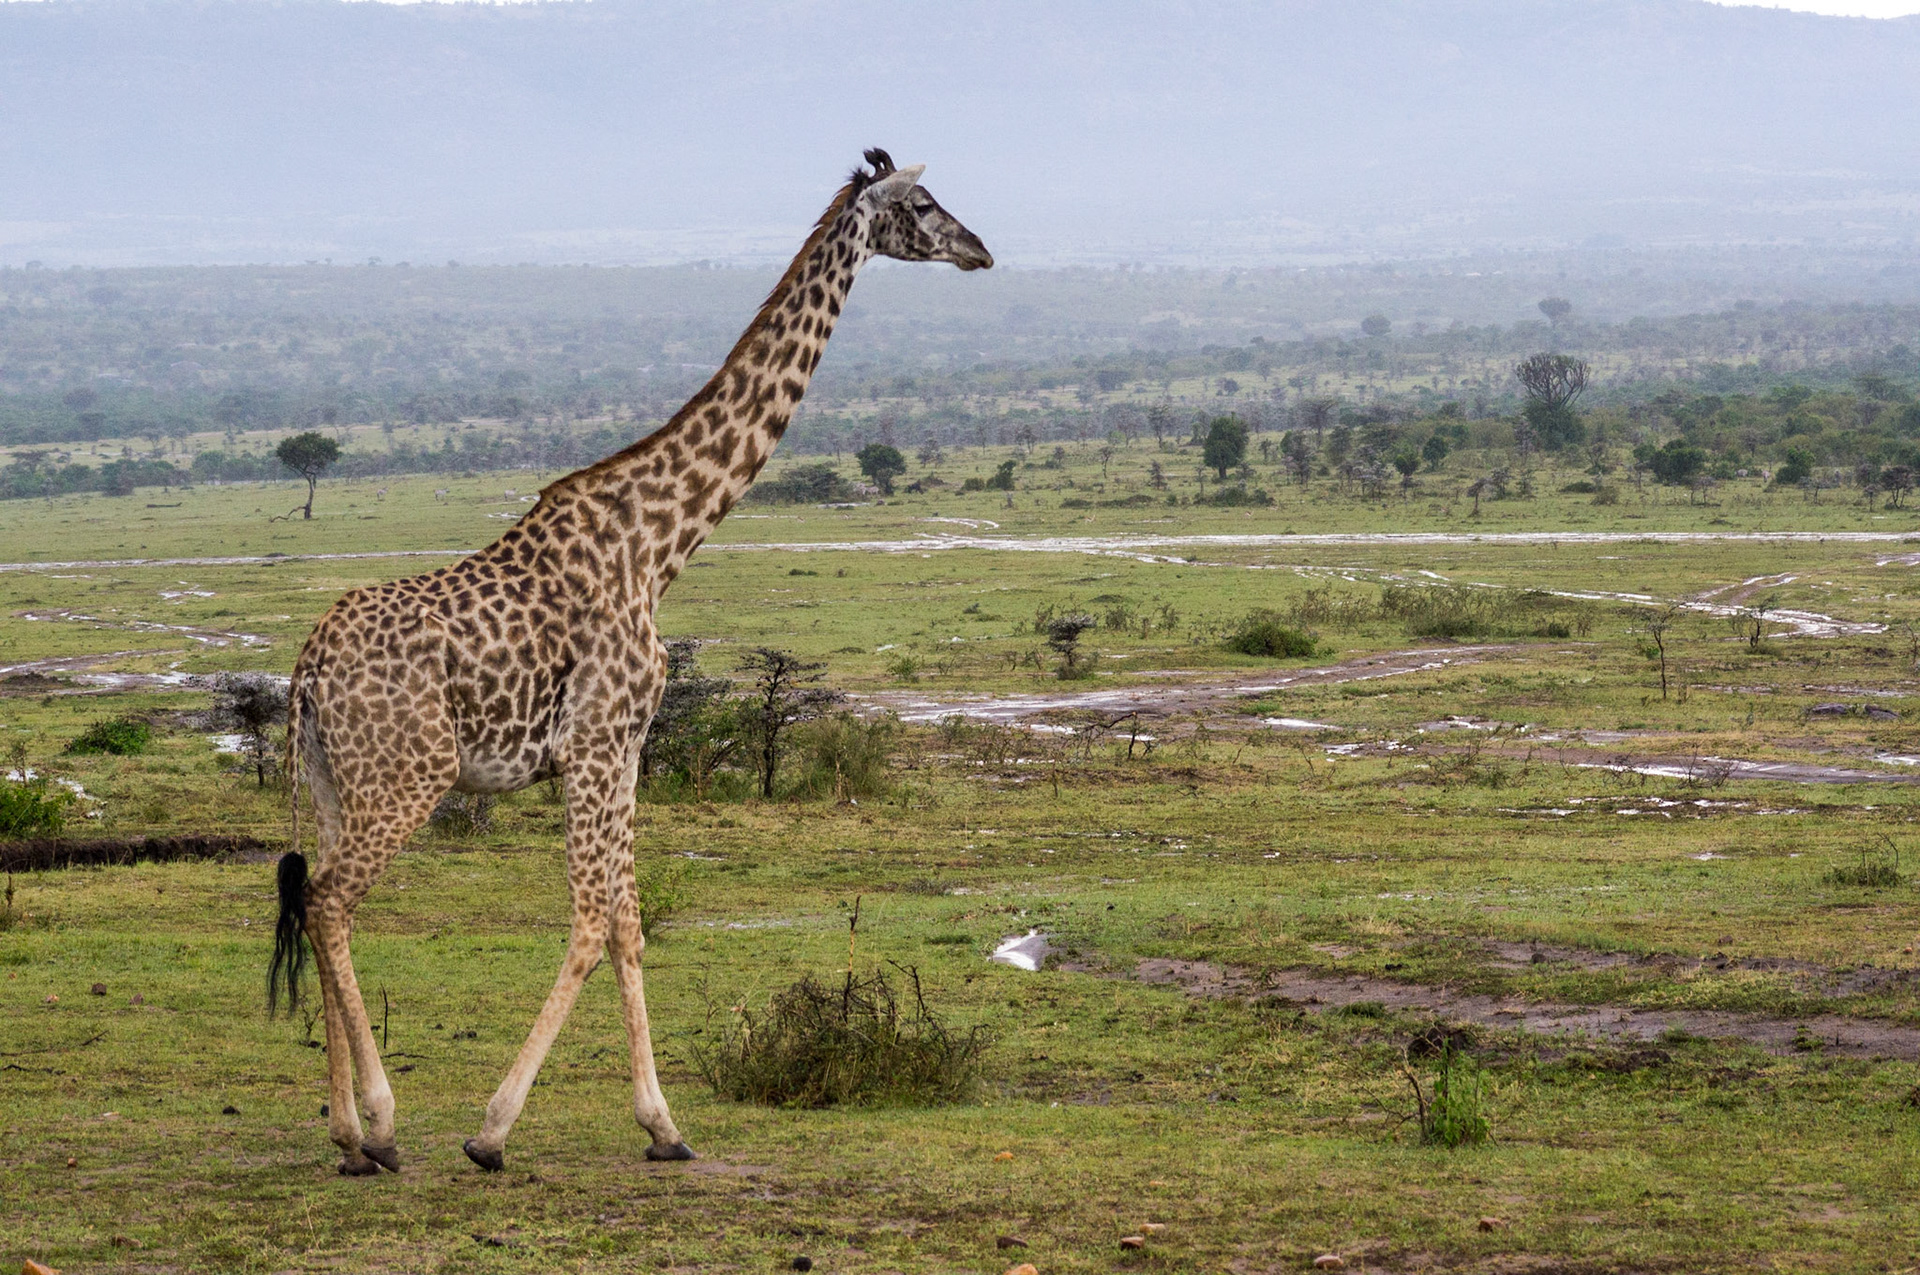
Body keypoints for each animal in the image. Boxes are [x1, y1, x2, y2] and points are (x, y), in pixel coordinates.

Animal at [267, 149, 992, 1176]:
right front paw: (496, 1129)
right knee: (330, 900)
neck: (661, 539)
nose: (981, 251)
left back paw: (346, 1135)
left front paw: (663, 1125)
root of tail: (306, 664)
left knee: (316, 898)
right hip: (412, 772)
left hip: (340, 780)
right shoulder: (601, 739)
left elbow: (629, 923)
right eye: (923, 204)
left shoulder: (623, 747)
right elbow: (593, 920)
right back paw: (380, 1120)